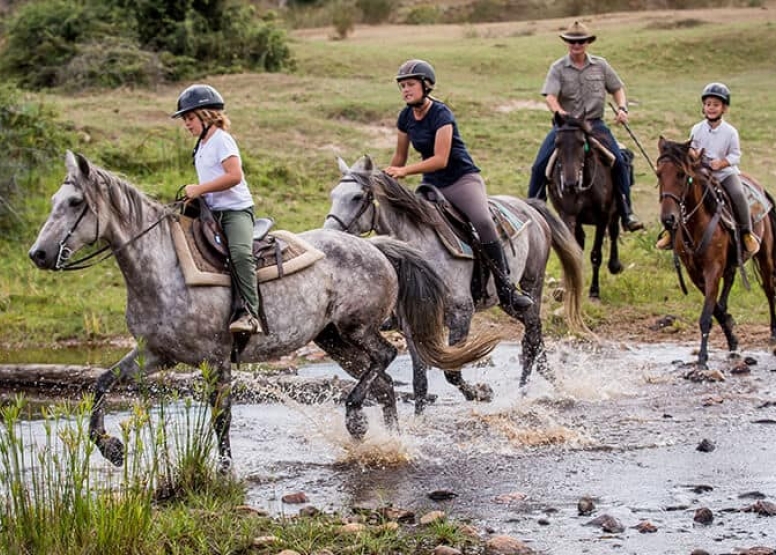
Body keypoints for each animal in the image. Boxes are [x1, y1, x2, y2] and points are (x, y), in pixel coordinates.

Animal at [28, 150, 498, 472]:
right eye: (53, 199)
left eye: (74, 203)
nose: (38, 254)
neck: (162, 266)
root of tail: (376, 246)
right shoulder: (155, 353)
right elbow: (102, 383)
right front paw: (111, 448)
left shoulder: (216, 359)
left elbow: (221, 417)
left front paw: (224, 470)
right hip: (333, 339)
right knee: (382, 384)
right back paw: (389, 441)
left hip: (357, 328)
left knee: (386, 357)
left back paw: (357, 421)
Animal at [322, 154, 588, 410]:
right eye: (333, 195)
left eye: (357, 197)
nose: (329, 232)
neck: (421, 248)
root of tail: (528, 205)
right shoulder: (413, 323)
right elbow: (420, 379)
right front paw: (419, 417)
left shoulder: (461, 314)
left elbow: (452, 371)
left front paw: (480, 393)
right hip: (506, 301)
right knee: (535, 330)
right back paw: (550, 380)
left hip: (533, 281)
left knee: (531, 335)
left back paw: (523, 391)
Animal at [548, 112, 620, 300]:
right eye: (557, 143)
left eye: (581, 142)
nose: (570, 184)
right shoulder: (568, 215)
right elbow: (569, 249)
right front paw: (563, 289)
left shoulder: (602, 217)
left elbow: (596, 254)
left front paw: (594, 291)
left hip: (614, 212)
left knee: (614, 232)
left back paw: (615, 265)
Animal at [656, 136, 776, 370]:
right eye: (659, 173)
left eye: (681, 174)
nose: (669, 219)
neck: (698, 224)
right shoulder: (695, 272)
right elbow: (716, 310)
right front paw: (732, 337)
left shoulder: (713, 268)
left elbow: (707, 315)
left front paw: (703, 359)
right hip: (731, 263)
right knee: (730, 282)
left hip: (764, 256)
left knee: (769, 289)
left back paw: (774, 332)